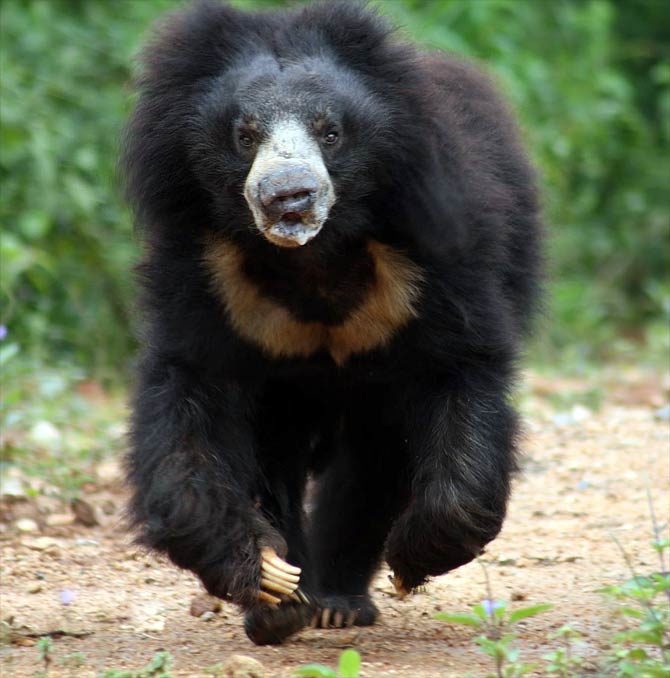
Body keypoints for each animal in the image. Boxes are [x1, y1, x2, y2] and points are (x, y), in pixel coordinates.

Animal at [123, 0, 544, 648]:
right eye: (245, 135)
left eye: (331, 131)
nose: (288, 198)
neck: (312, 260)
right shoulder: (209, 278)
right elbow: (189, 405)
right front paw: (266, 575)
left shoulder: (431, 260)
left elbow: (459, 372)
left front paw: (414, 557)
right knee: (279, 453)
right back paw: (290, 603)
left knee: (370, 460)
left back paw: (340, 601)